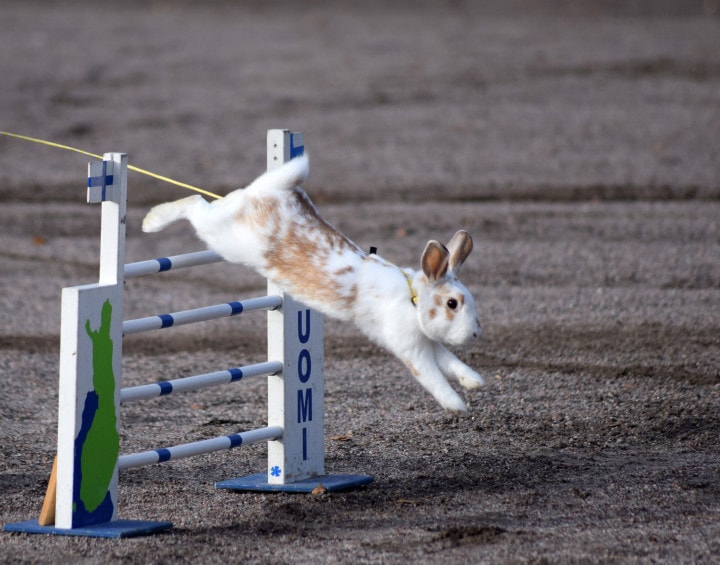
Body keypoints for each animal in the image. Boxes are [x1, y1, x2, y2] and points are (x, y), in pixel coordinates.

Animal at [142, 154, 484, 410]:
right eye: (452, 303)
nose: (475, 334)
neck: (413, 299)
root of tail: (267, 193)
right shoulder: (411, 348)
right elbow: (432, 377)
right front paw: (457, 405)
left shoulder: (429, 342)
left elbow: (451, 363)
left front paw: (475, 381)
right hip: (218, 233)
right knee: (194, 203)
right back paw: (150, 221)